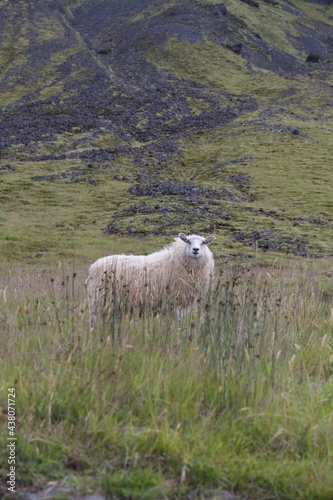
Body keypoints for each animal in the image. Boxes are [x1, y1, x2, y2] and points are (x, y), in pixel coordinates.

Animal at [84, 233, 217, 326]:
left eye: (204, 242)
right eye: (188, 241)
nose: (195, 250)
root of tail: (92, 268)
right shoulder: (173, 302)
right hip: (98, 301)